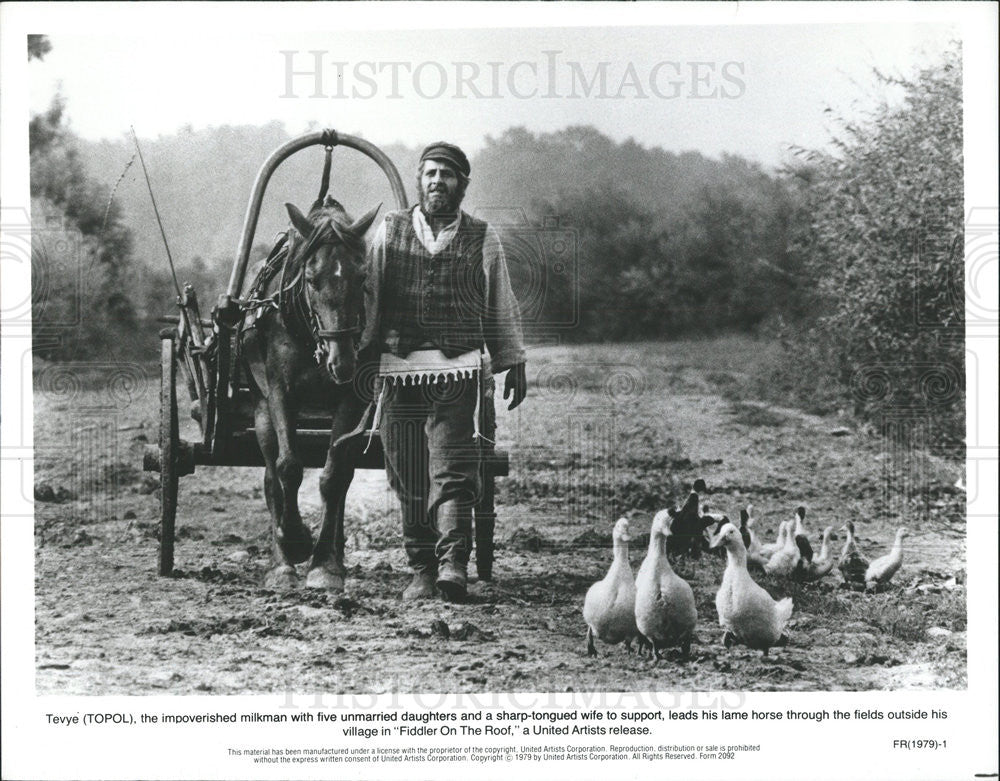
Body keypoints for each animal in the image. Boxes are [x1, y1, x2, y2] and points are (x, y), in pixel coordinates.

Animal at [239, 197, 382, 592]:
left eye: (362, 277)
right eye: (311, 279)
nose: (342, 361)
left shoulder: (352, 401)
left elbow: (333, 478)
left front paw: (325, 564)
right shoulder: (279, 392)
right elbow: (288, 468)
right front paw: (295, 540)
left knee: (343, 473)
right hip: (260, 408)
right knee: (271, 476)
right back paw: (281, 560)